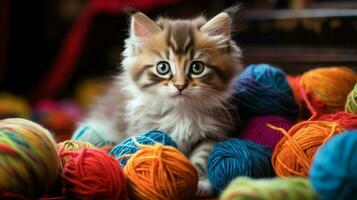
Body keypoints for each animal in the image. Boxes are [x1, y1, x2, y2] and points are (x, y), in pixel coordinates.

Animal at [75, 7, 242, 197]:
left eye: (197, 67)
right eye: (163, 67)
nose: (180, 86)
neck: (181, 112)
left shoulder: (216, 132)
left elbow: (202, 156)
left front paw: (201, 184)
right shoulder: (143, 128)